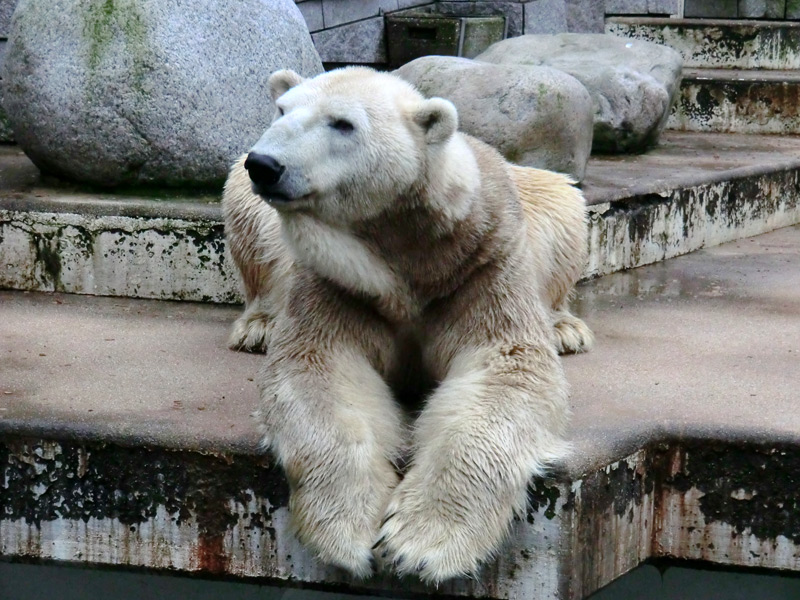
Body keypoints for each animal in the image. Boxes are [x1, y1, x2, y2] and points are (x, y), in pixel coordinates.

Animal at [222, 68, 592, 584]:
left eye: (343, 123)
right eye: (281, 110)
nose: (265, 164)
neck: (407, 253)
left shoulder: (482, 266)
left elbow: (508, 366)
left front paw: (420, 544)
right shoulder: (340, 284)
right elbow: (318, 367)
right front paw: (351, 531)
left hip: (545, 206)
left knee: (565, 206)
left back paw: (565, 329)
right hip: (251, 207)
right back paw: (258, 326)